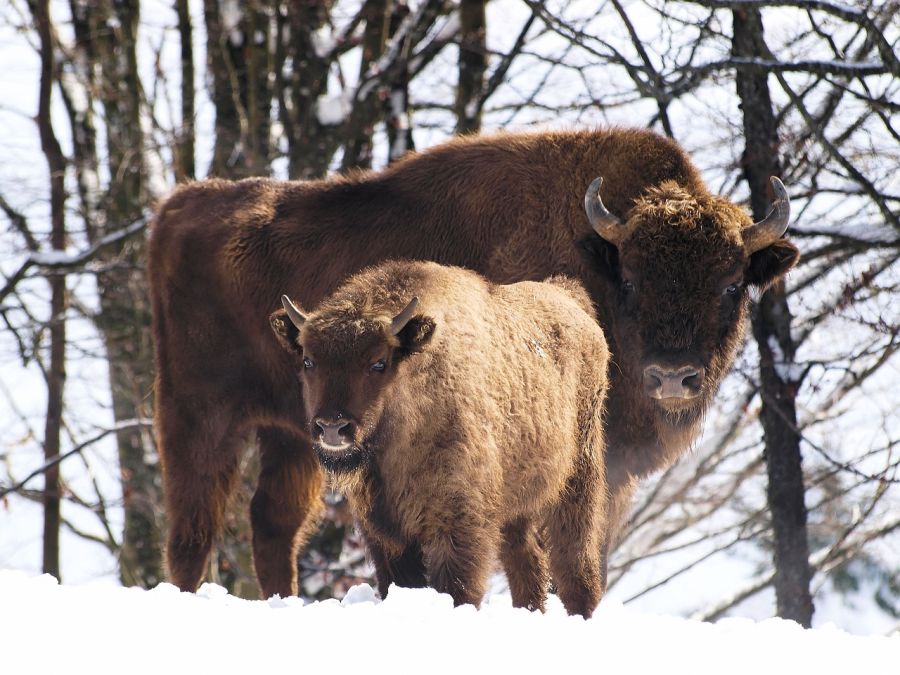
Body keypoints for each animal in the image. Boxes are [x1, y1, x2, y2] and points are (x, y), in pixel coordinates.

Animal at [272, 260, 612, 616]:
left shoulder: (457, 526)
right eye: (308, 360)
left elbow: (458, 590)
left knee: (575, 562)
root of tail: (571, 301)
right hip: (518, 504)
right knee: (527, 563)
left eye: (379, 362)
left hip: (578, 479)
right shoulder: (386, 535)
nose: (332, 427)